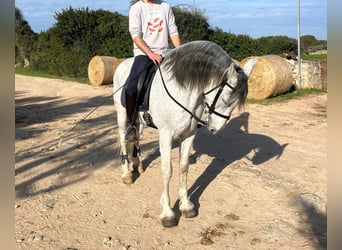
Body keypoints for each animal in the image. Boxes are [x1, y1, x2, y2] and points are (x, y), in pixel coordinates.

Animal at [113, 40, 252, 228]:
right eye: (225, 100)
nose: (214, 129)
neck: (183, 91)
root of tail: (121, 64)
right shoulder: (165, 135)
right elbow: (167, 170)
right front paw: (167, 213)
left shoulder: (189, 135)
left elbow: (184, 166)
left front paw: (186, 205)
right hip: (122, 116)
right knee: (123, 139)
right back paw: (127, 173)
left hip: (139, 122)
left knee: (135, 138)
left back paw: (137, 165)